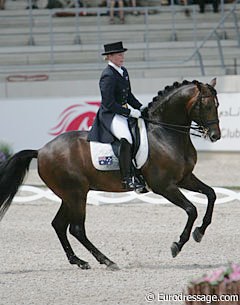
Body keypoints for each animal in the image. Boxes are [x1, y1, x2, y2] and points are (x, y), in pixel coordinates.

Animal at [0, 78, 221, 268]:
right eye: (206, 106)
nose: (215, 136)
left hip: (69, 195)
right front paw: (178, 245)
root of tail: (41, 150)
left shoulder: (184, 178)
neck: (165, 134)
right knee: (76, 229)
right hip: (76, 194)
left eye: (217, 105)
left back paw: (79, 261)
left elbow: (211, 194)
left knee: (59, 225)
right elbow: (191, 209)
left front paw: (200, 232)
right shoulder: (164, 186)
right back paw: (107, 261)